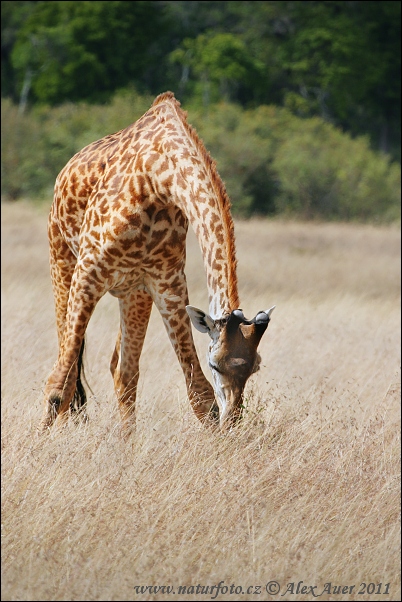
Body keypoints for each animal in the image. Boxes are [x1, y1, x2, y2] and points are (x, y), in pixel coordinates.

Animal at [42, 90, 274, 432]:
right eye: (216, 364)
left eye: (254, 367)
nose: (234, 420)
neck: (158, 180)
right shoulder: (88, 273)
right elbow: (59, 384)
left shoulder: (167, 282)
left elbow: (200, 396)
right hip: (62, 261)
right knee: (67, 368)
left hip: (133, 293)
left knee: (122, 371)